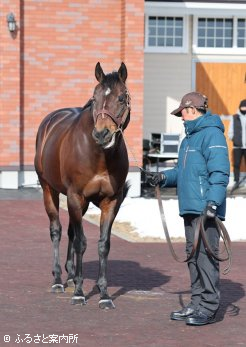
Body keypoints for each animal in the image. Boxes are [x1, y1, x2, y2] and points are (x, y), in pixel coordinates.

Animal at [35, 62, 131, 310]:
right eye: (94, 98)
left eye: (121, 98)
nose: (102, 133)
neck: (99, 155)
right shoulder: (75, 196)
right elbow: (80, 242)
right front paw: (79, 293)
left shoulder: (110, 201)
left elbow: (102, 244)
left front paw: (104, 294)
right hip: (49, 189)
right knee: (57, 230)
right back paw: (59, 279)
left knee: (70, 231)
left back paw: (70, 276)